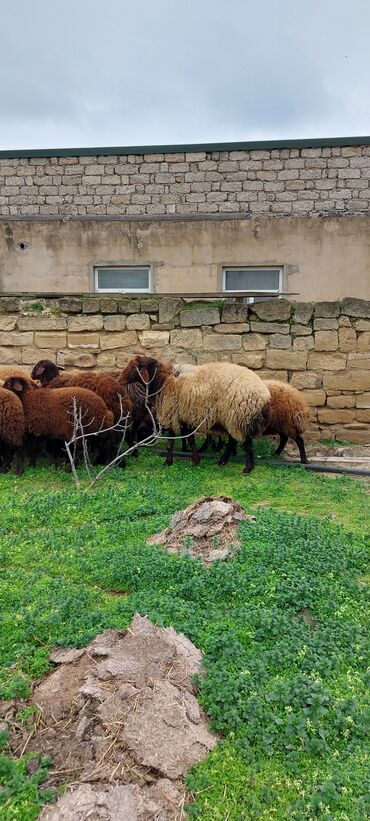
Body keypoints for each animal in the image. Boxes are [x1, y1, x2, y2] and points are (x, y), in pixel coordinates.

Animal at [120, 354, 270, 474]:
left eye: (134, 367)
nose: (119, 379)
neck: (162, 381)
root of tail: (263, 394)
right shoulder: (184, 415)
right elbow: (190, 439)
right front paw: (196, 459)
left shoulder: (172, 413)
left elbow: (170, 442)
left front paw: (168, 462)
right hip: (233, 417)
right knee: (235, 441)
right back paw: (223, 461)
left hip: (238, 415)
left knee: (246, 442)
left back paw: (247, 468)